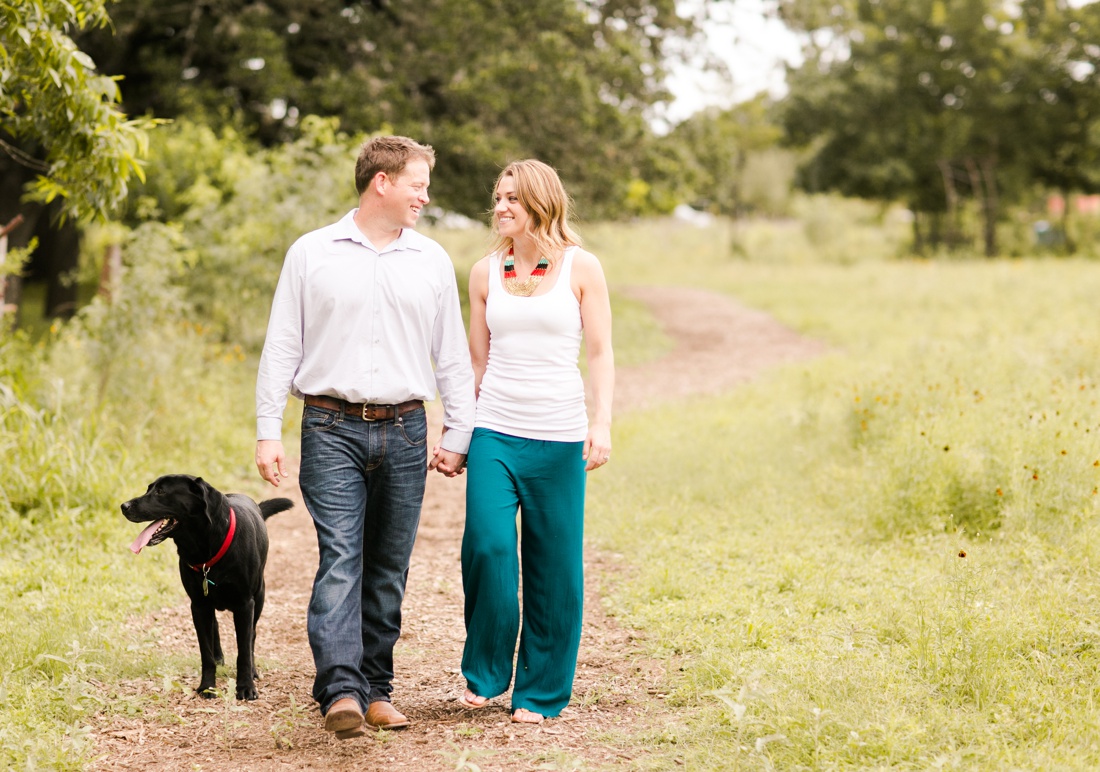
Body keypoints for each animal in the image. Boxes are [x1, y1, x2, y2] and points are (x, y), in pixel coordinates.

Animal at [121, 475, 294, 703]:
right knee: (216, 628)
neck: (206, 548)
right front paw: (207, 686)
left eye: (161, 491)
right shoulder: (199, 605)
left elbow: (243, 650)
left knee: (252, 636)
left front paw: (246, 687)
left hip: (260, 596)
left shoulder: (245, 605)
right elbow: (206, 652)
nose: (124, 506)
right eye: (149, 488)